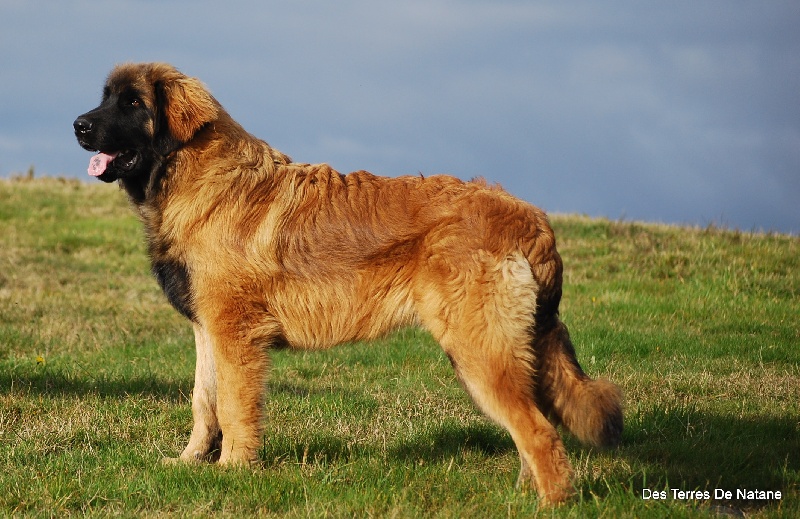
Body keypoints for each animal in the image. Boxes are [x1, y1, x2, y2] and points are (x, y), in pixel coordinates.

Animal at [73, 63, 624, 506]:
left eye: (132, 103)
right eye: (105, 96)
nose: (78, 125)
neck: (197, 176)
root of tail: (529, 218)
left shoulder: (236, 336)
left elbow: (232, 406)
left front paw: (233, 469)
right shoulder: (209, 331)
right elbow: (203, 403)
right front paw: (191, 462)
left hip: (480, 352)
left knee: (539, 432)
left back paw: (549, 503)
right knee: (533, 429)